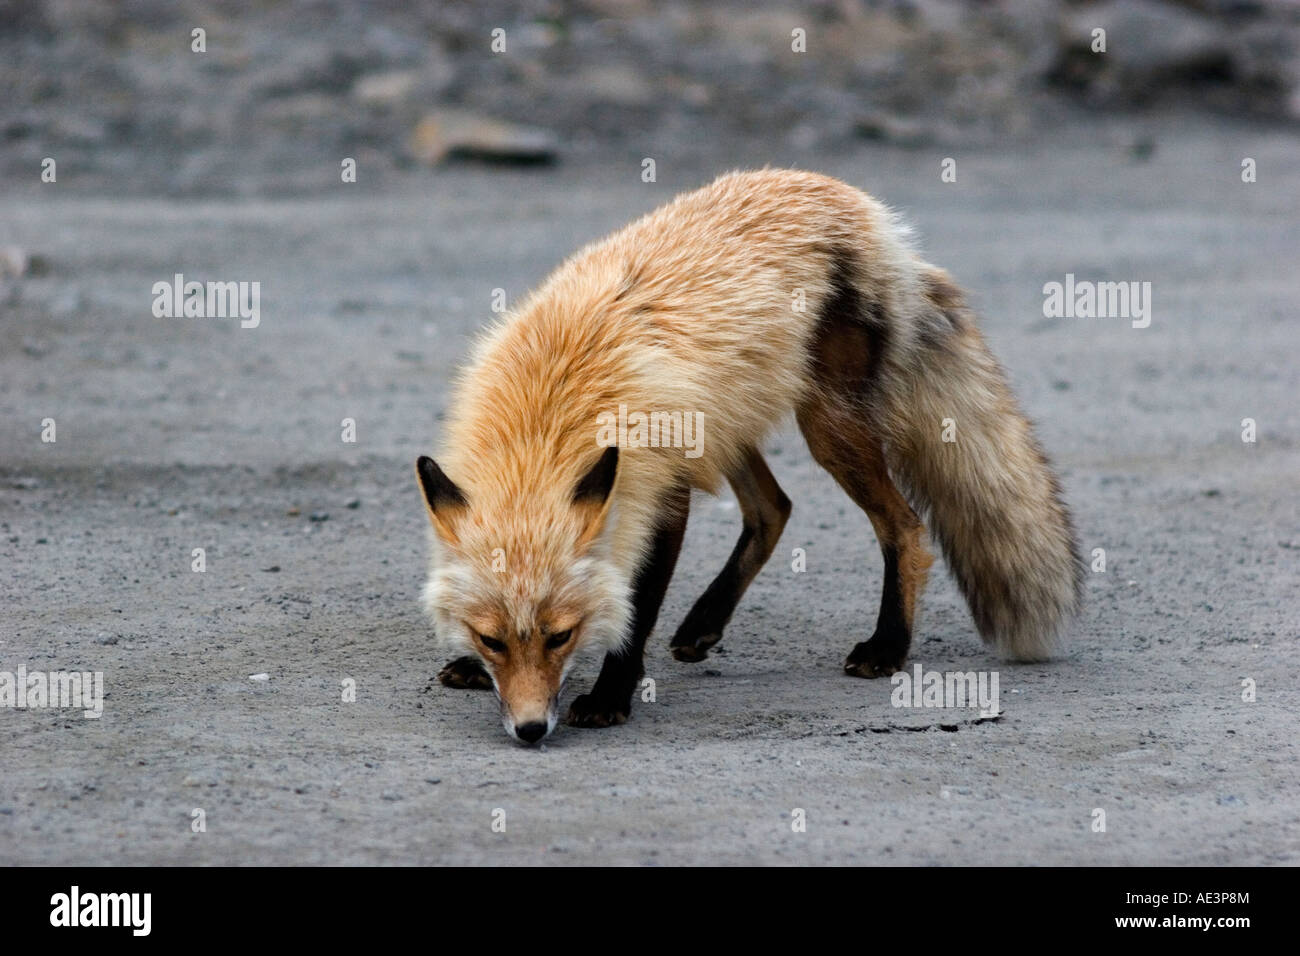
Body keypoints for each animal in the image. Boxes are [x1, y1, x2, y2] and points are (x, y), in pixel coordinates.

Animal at [417, 168, 1082, 746]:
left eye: (561, 636)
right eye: (492, 639)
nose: (530, 730)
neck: (546, 413)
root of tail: (861, 208)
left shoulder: (660, 488)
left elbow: (638, 605)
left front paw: (611, 695)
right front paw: (475, 670)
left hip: (826, 426)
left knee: (905, 527)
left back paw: (887, 646)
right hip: (726, 419)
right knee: (774, 508)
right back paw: (705, 621)